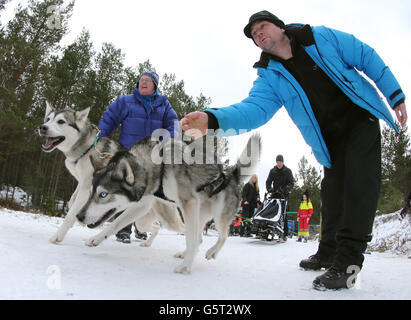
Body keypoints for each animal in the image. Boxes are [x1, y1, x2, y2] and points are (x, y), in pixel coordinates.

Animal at [36, 102, 184, 245]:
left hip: (161, 218)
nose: (42, 127)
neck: (87, 148)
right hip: (142, 219)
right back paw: (146, 243)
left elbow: (72, 213)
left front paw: (58, 236)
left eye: (61, 121)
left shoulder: (86, 186)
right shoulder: (83, 184)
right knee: (156, 226)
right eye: (48, 119)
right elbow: (72, 201)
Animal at [77, 134, 260, 274]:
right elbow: (115, 223)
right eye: (91, 192)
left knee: (221, 235)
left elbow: (191, 240)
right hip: (193, 214)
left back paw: (211, 252)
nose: (79, 216)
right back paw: (185, 254)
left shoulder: (188, 201)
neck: (158, 166)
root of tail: (231, 174)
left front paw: (185, 267)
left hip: (216, 214)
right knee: (198, 237)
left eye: (103, 194)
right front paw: (96, 239)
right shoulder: (144, 203)